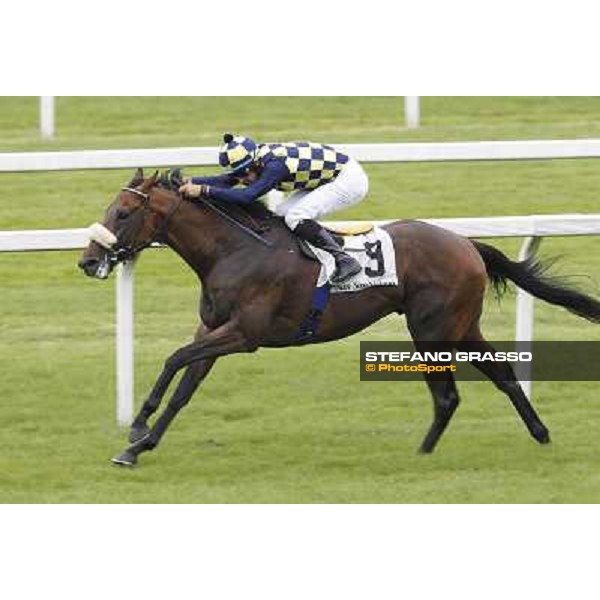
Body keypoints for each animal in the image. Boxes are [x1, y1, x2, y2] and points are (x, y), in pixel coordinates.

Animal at [79, 166, 600, 466]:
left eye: (122, 212)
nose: (87, 261)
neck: (234, 250)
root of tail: (466, 243)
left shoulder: (244, 333)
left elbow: (173, 358)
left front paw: (137, 429)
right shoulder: (213, 328)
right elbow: (184, 385)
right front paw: (137, 446)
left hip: (432, 328)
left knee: (449, 394)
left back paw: (425, 453)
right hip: (461, 326)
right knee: (503, 375)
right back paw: (537, 435)